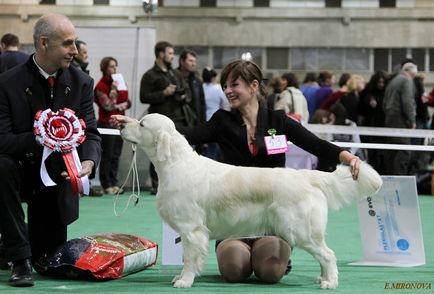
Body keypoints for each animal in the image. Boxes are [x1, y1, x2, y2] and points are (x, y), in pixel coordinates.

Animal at [120, 113, 382, 290]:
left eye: (142, 124)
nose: (121, 124)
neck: (176, 164)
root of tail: (306, 176)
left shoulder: (191, 229)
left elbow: (190, 258)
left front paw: (184, 280)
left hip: (300, 230)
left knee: (328, 254)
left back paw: (331, 282)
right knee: (324, 255)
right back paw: (323, 277)